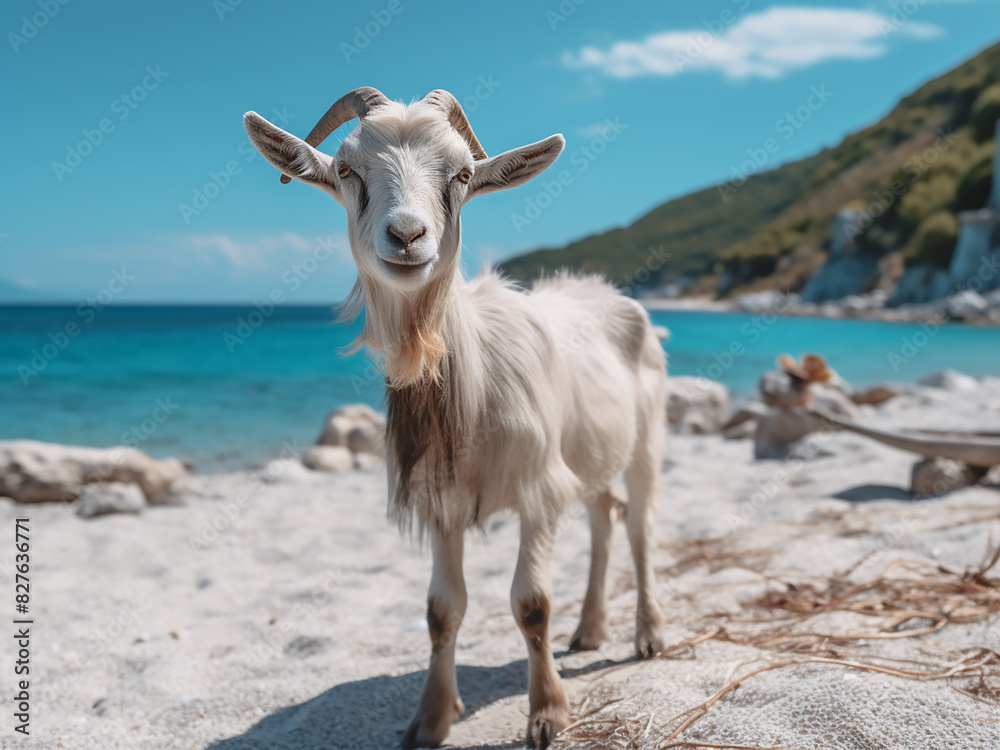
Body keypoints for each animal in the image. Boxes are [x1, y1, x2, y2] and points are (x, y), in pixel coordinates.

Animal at [244, 88, 668, 750]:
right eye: (348, 170)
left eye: (464, 175)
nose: (407, 235)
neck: (471, 384)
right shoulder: (440, 496)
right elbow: (441, 611)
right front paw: (431, 719)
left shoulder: (537, 487)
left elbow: (531, 604)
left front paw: (547, 715)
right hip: (591, 451)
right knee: (605, 518)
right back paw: (590, 630)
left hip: (644, 441)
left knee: (640, 526)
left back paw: (648, 636)